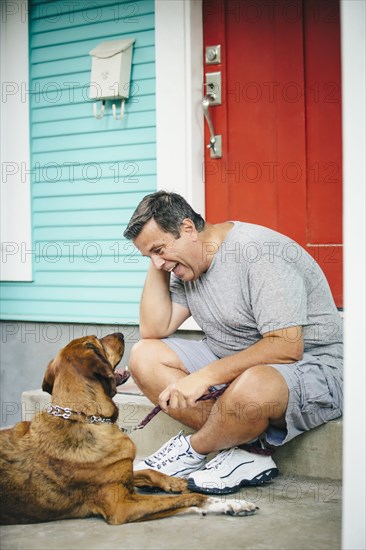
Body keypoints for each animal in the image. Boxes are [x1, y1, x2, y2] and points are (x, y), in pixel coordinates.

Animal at [0, 332, 256, 528]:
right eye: (97, 341)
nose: (122, 333)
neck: (85, 418)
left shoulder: (125, 476)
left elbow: (149, 472)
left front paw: (178, 483)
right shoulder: (121, 508)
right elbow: (192, 499)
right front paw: (229, 504)